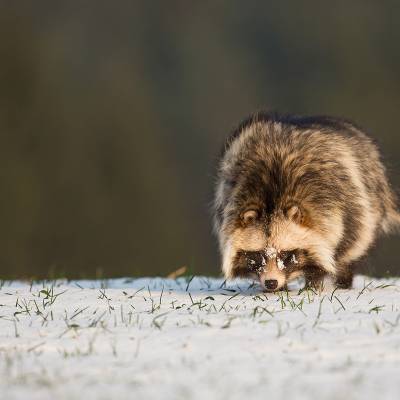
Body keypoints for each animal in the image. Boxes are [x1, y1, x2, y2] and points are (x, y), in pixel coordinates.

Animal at [214, 112, 400, 290]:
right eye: (259, 254)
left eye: (285, 254)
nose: (271, 283)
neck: (273, 197)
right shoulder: (231, 196)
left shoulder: (341, 202)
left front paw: (314, 283)